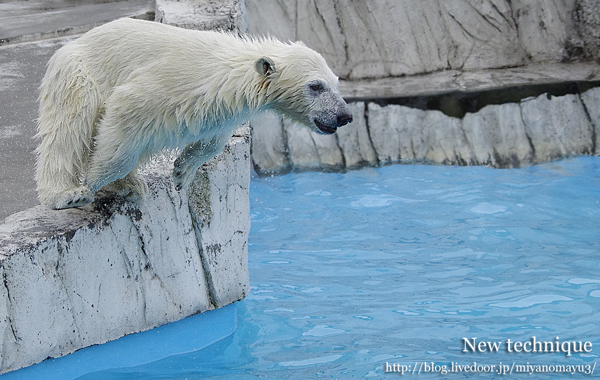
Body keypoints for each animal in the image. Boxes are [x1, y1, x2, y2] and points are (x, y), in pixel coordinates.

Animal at [36, 17, 352, 211]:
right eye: (316, 86)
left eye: (336, 82)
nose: (344, 116)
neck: (233, 75)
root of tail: (73, 43)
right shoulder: (177, 81)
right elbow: (128, 106)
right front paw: (96, 179)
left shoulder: (221, 109)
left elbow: (213, 140)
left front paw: (182, 171)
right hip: (78, 73)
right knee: (68, 128)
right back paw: (67, 194)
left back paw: (130, 185)